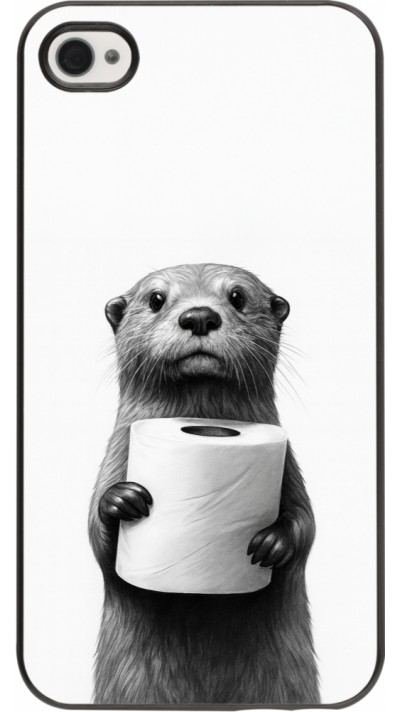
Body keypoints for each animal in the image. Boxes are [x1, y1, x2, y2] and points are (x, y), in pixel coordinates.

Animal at [89, 263, 319, 705]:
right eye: (156, 299)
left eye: (238, 297)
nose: (199, 316)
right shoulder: (115, 457)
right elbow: (96, 538)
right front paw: (121, 501)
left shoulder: (290, 468)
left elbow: (307, 525)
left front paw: (273, 542)